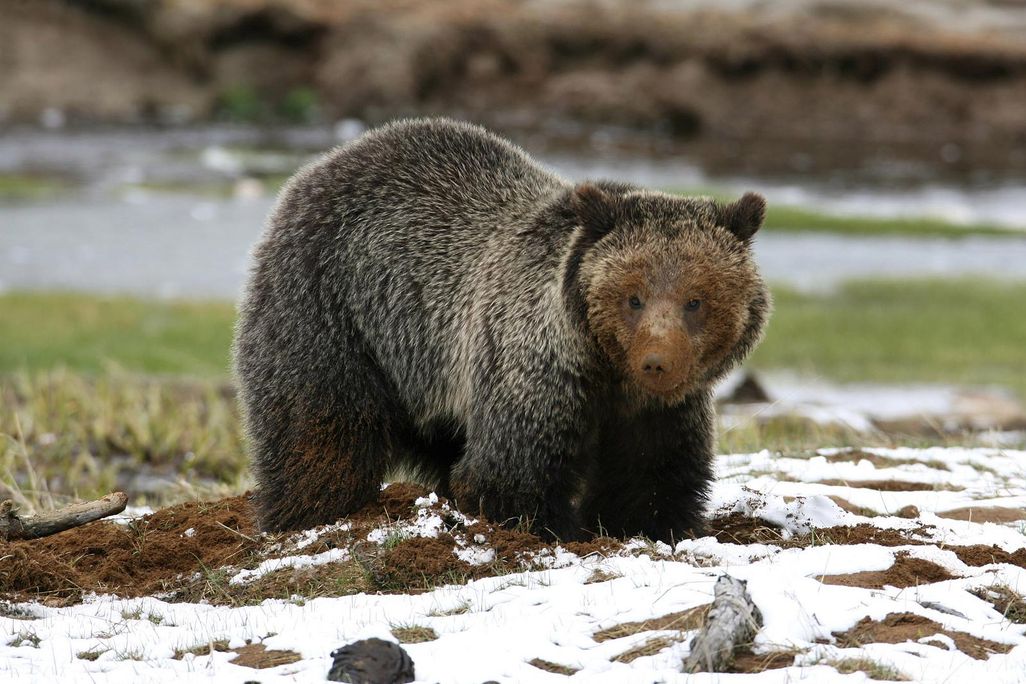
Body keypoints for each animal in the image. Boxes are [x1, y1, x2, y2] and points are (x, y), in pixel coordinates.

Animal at [233, 117, 770, 542]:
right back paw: (308, 515)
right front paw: (554, 529)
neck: (607, 372)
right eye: (633, 297)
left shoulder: (659, 413)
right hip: (331, 311)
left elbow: (652, 478)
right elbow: (511, 472)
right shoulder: (532, 369)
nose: (657, 362)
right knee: (319, 431)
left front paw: (653, 526)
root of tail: (323, 164)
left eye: (695, 300)